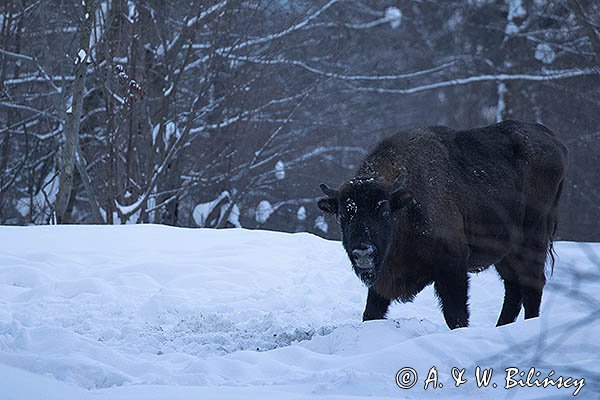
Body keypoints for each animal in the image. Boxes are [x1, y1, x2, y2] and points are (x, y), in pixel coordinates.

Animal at [318, 120, 568, 330]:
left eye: (384, 211)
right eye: (344, 214)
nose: (363, 251)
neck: (406, 204)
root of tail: (554, 141)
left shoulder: (452, 266)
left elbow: (455, 315)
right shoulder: (383, 280)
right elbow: (371, 312)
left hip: (533, 238)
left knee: (532, 285)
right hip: (506, 250)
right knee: (513, 287)